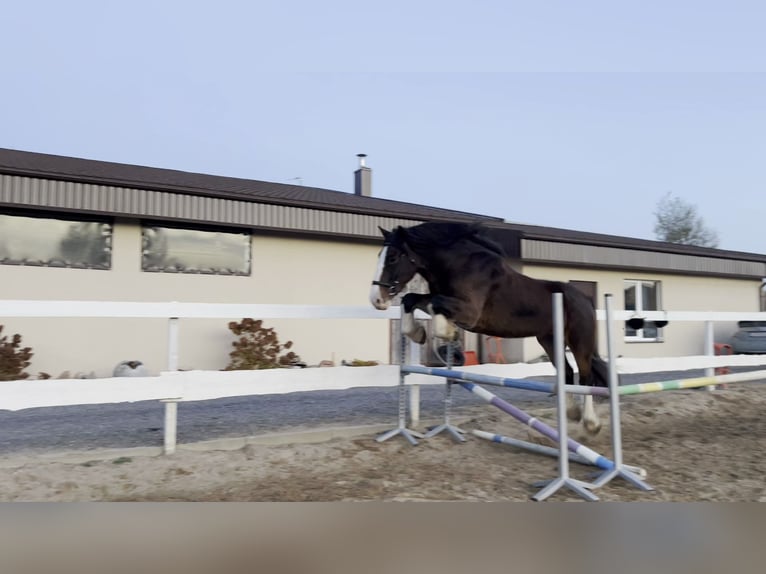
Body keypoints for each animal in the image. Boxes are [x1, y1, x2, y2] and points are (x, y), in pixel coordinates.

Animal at [368, 223, 608, 434]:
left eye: (392, 257)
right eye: (379, 255)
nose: (377, 300)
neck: (458, 266)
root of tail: (586, 299)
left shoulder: (469, 313)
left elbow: (434, 305)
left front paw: (446, 331)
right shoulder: (443, 300)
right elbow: (411, 299)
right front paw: (419, 333)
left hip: (579, 341)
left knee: (585, 377)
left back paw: (590, 423)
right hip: (549, 339)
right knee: (566, 372)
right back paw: (572, 413)